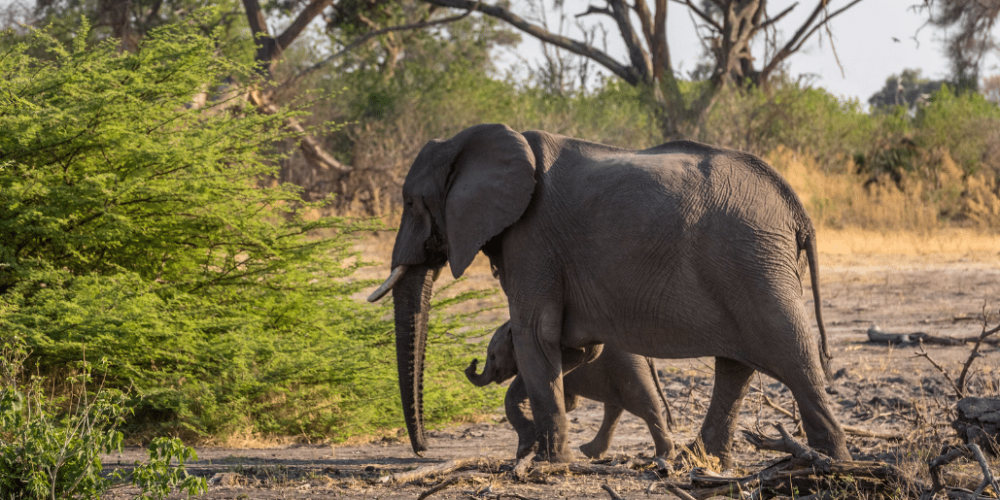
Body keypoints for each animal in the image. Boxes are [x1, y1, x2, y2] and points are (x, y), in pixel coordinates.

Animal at [466, 322, 672, 458]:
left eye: (492, 356)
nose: (473, 362)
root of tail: (648, 356)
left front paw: (525, 450)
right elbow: (569, 403)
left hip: (626, 368)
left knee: (642, 405)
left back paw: (664, 456)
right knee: (615, 406)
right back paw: (590, 453)